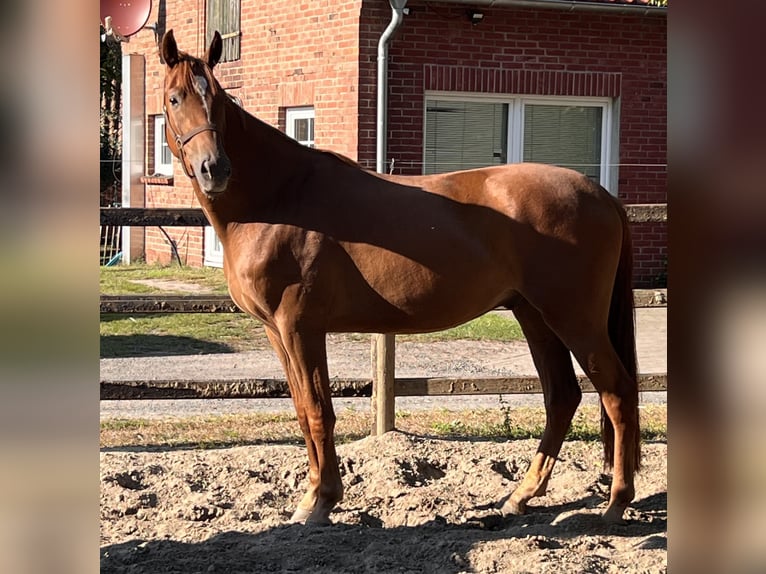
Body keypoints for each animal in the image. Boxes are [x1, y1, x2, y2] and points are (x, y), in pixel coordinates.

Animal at [160, 31, 640, 528]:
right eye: (175, 98)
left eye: (218, 99)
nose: (215, 169)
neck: (279, 198)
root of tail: (602, 194)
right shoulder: (278, 332)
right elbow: (302, 411)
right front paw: (313, 496)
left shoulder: (300, 328)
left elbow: (318, 410)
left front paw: (320, 502)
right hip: (535, 316)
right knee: (562, 396)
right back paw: (520, 497)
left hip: (574, 319)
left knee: (618, 391)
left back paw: (616, 502)